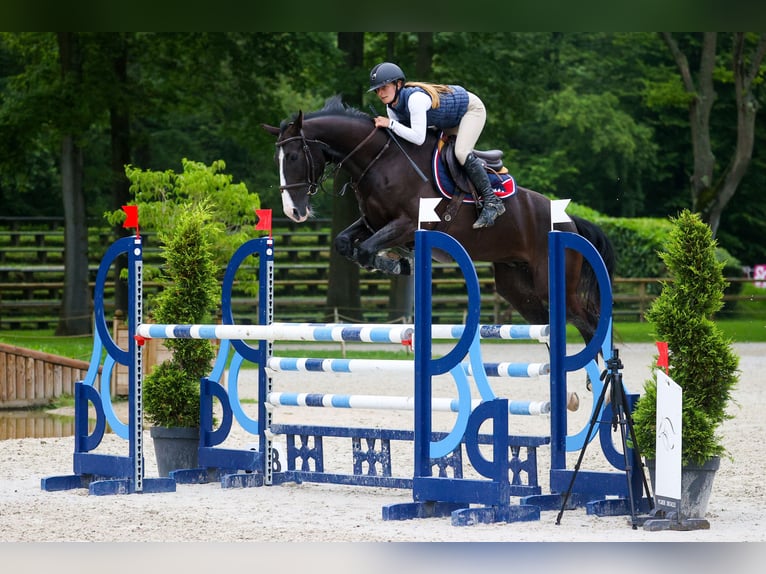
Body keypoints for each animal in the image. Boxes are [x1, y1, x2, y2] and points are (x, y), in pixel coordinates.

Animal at [264, 97, 616, 346]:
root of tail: (569, 220)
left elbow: (364, 250)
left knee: (589, 323)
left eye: (293, 157)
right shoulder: (373, 222)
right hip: (516, 286)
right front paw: (396, 262)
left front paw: (394, 263)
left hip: (553, 283)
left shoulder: (407, 224)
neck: (379, 160)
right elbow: (344, 243)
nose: (294, 212)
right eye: (277, 159)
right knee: (547, 325)